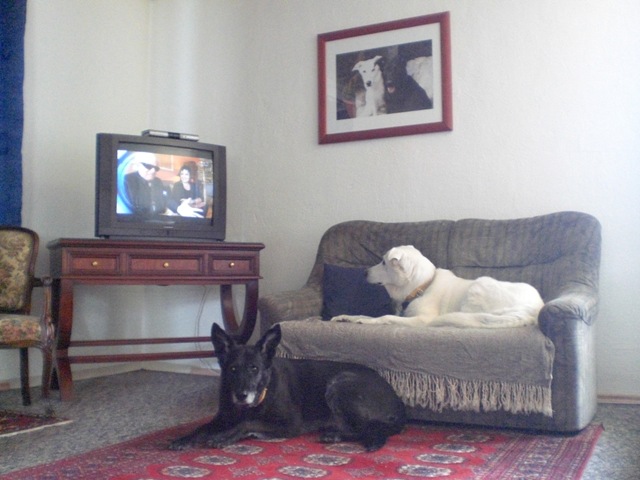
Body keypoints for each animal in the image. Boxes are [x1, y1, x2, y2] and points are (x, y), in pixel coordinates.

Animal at [170, 322, 404, 450]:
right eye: (233, 369)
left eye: (254, 368)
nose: (241, 395)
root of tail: (397, 401)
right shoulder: (222, 418)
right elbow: (202, 427)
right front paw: (184, 438)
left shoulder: (291, 424)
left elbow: (248, 423)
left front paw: (224, 436)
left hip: (339, 384)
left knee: (366, 428)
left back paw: (335, 435)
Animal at [330, 246, 544, 328]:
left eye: (383, 262)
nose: (364, 273)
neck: (421, 287)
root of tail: (535, 309)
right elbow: (363, 314)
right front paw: (345, 317)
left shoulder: (421, 320)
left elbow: (385, 318)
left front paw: (368, 322)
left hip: (479, 287)